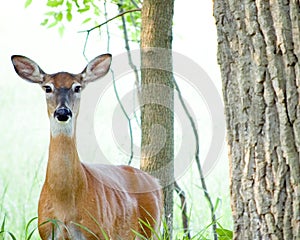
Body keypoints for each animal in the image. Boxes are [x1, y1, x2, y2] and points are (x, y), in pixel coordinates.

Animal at [11, 54, 163, 240]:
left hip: (151, 227)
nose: (62, 112)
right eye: (47, 87)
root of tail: (155, 181)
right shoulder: (47, 231)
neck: (65, 204)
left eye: (77, 87)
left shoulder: (98, 232)